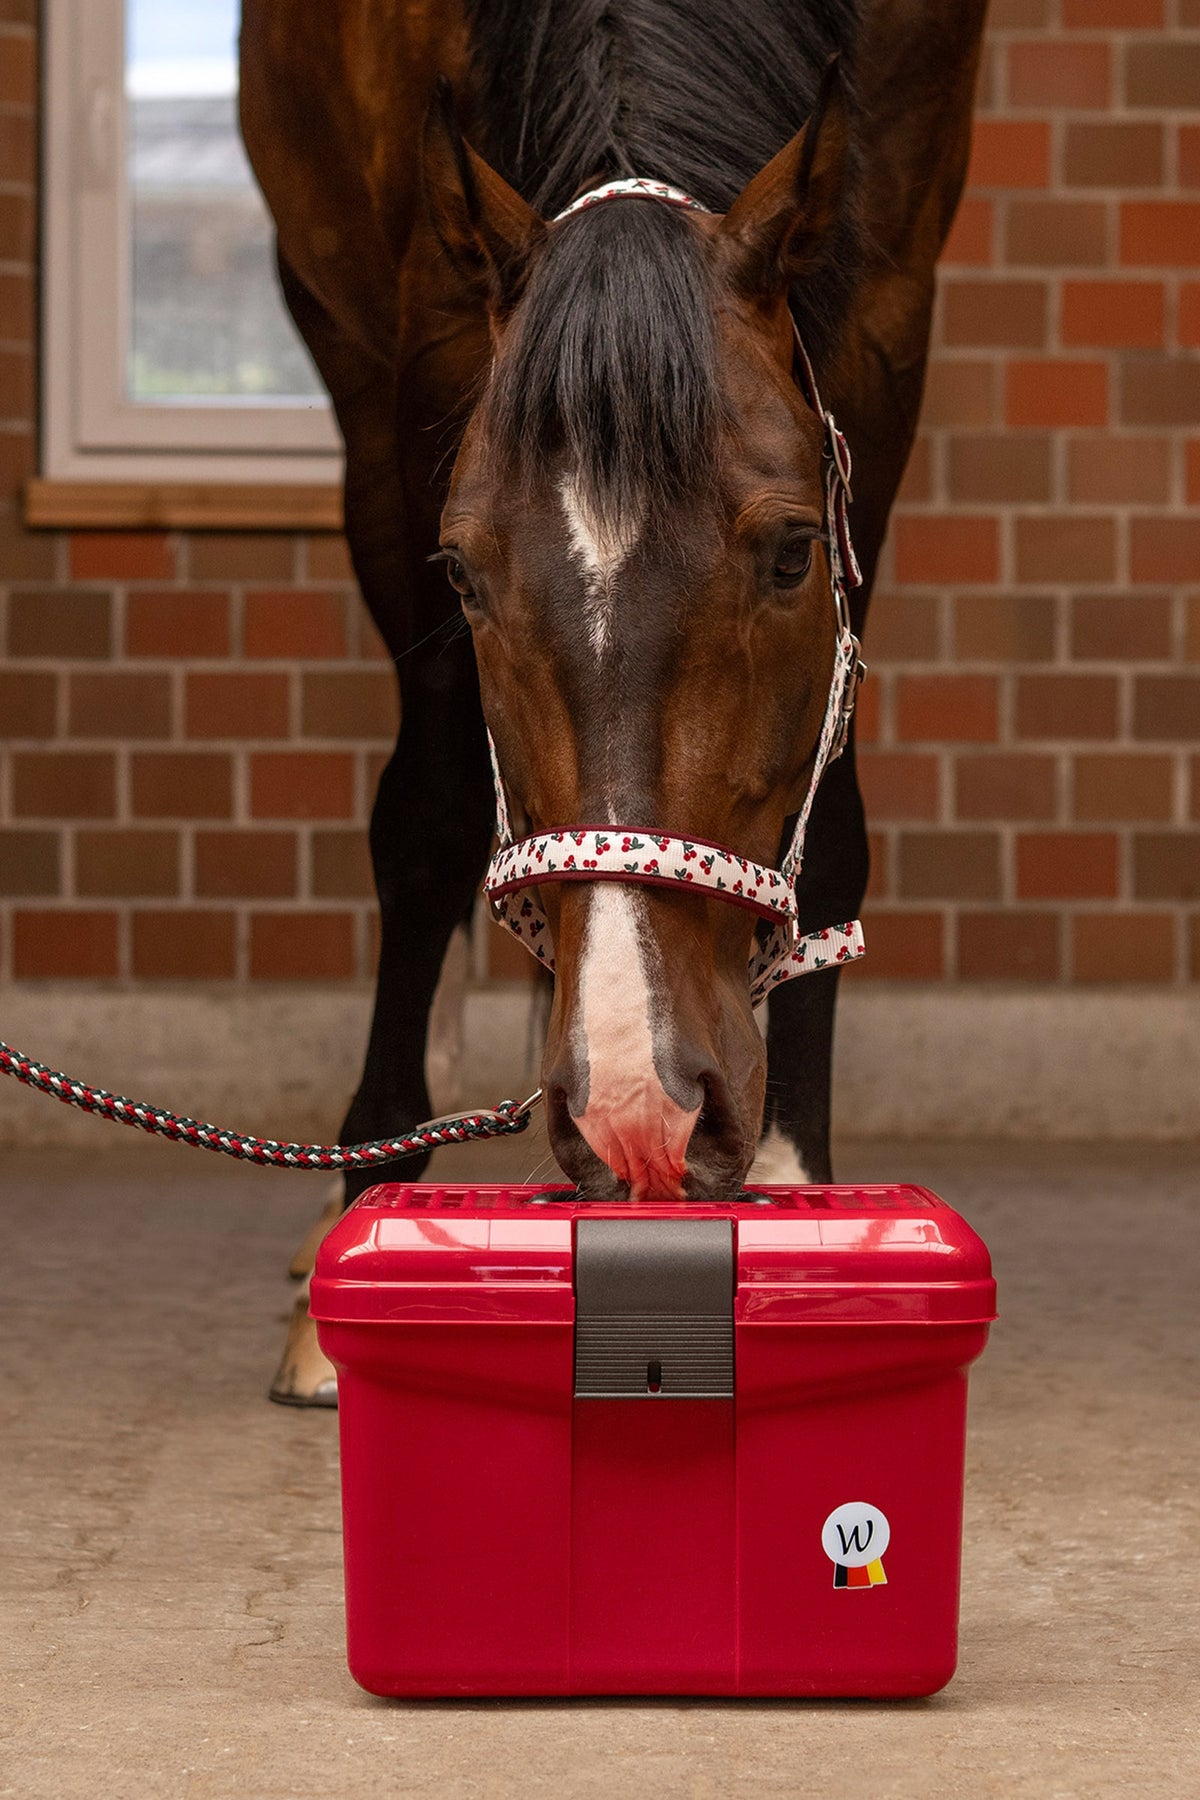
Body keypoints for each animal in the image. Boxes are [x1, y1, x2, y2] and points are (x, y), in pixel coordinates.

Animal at [239, 0, 988, 1403]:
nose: (642, 1100)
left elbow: (834, 816)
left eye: (795, 553)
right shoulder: (415, 353)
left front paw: (801, 1187)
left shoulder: (882, 329)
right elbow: (427, 816)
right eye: (462, 572)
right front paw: (370, 1193)